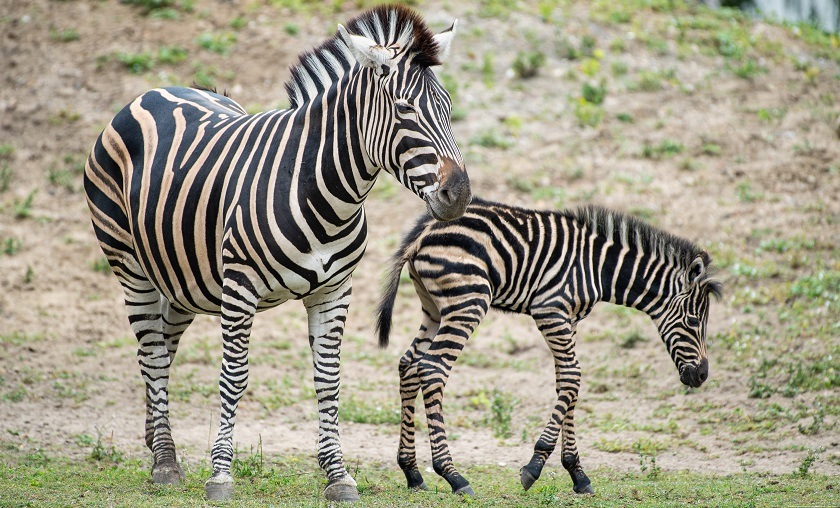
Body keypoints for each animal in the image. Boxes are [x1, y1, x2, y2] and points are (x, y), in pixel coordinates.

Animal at [84, 5, 470, 502]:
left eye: (448, 108)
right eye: (405, 110)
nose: (459, 194)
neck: (324, 190)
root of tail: (154, 90)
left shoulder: (335, 291)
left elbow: (328, 379)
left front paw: (337, 474)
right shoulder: (240, 286)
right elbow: (234, 377)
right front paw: (221, 474)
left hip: (181, 277)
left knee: (159, 350)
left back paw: (155, 443)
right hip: (130, 265)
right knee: (151, 352)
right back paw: (166, 462)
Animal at [376, 197, 723, 496]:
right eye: (694, 321)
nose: (702, 376)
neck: (598, 268)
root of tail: (424, 229)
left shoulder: (569, 320)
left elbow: (566, 383)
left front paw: (577, 474)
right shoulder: (550, 311)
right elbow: (573, 378)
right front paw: (535, 466)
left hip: (433, 308)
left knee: (408, 365)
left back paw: (412, 471)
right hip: (468, 302)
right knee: (433, 369)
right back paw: (452, 474)